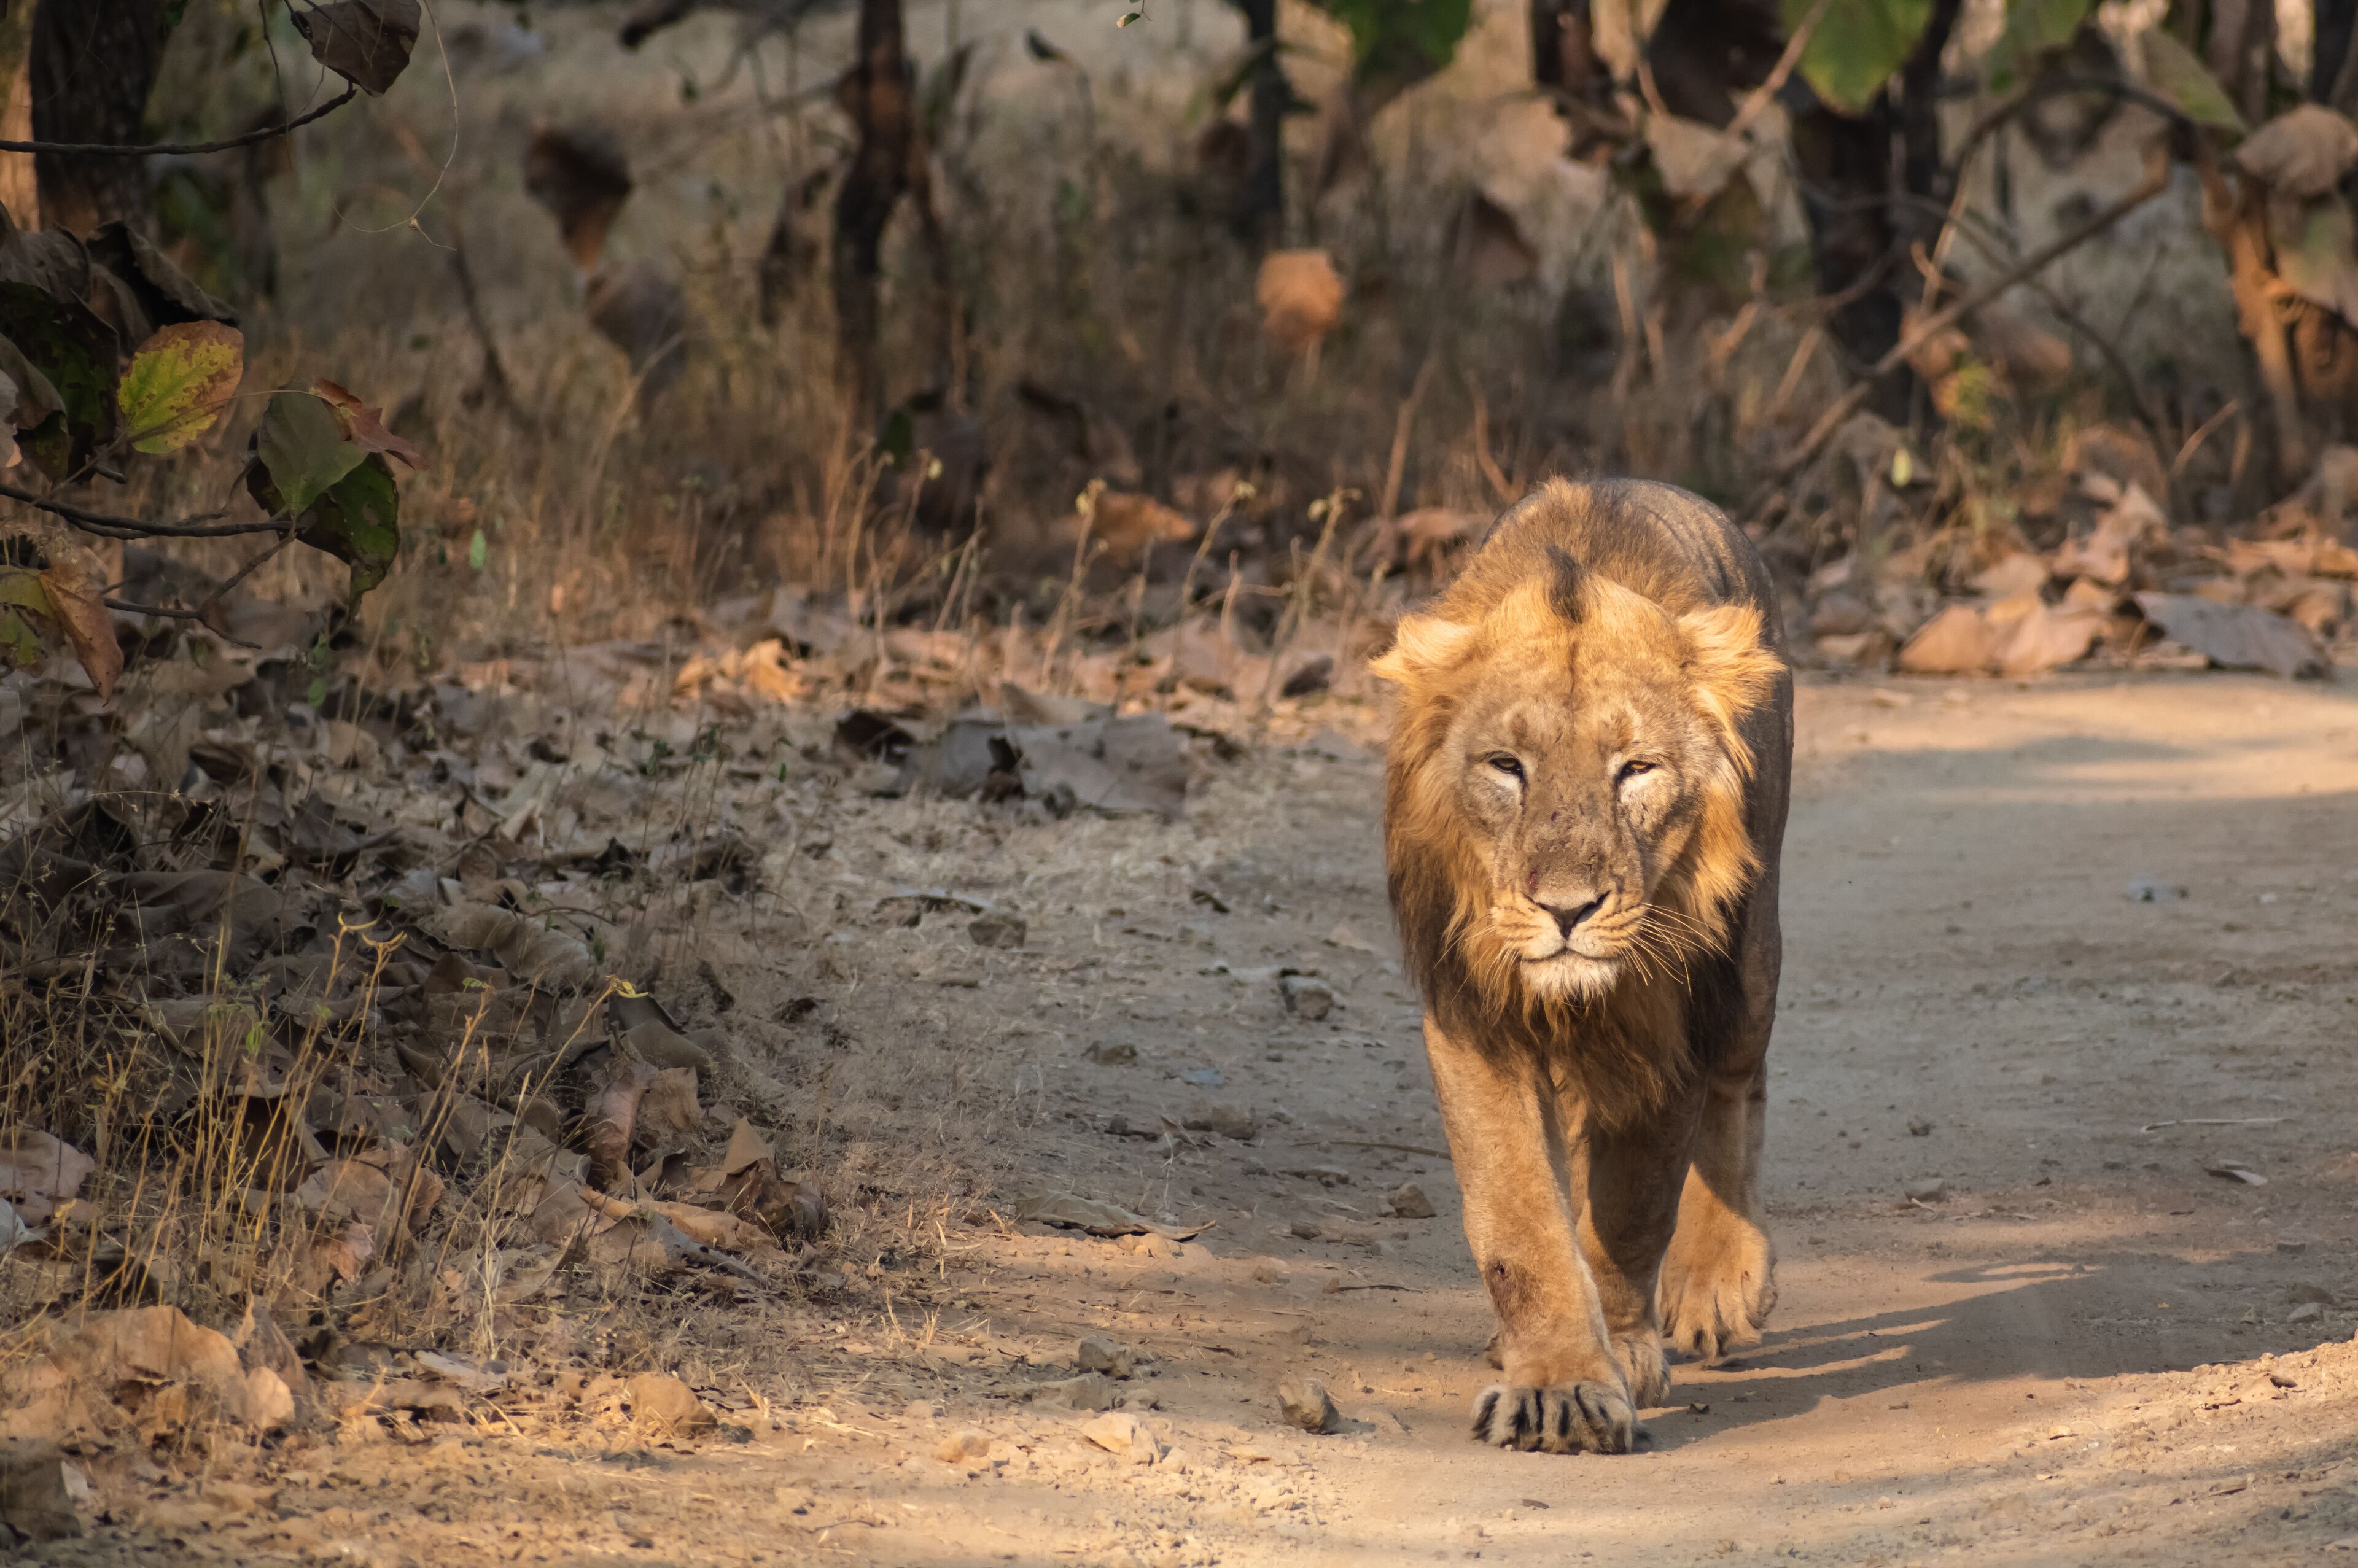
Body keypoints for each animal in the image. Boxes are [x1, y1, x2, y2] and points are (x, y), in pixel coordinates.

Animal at [1370, 478, 1792, 1455]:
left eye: (1636, 768)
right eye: (1505, 767)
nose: (1567, 910)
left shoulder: (1671, 1021)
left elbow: (1635, 1202)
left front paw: (1624, 1347)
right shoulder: (1474, 1017)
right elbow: (1521, 1220)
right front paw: (1557, 1383)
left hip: (1749, 956)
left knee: (1740, 1081)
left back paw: (1720, 1281)